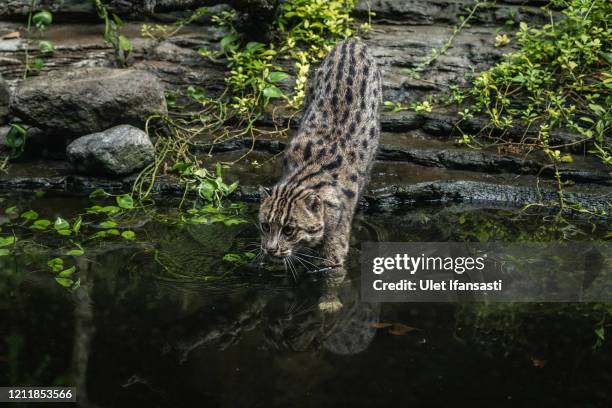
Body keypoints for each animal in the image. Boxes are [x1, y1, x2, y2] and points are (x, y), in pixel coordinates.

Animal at [258, 38, 382, 308]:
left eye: (289, 230)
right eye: (265, 225)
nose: (270, 250)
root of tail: (352, 41)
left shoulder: (336, 245)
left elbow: (332, 274)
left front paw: (328, 304)